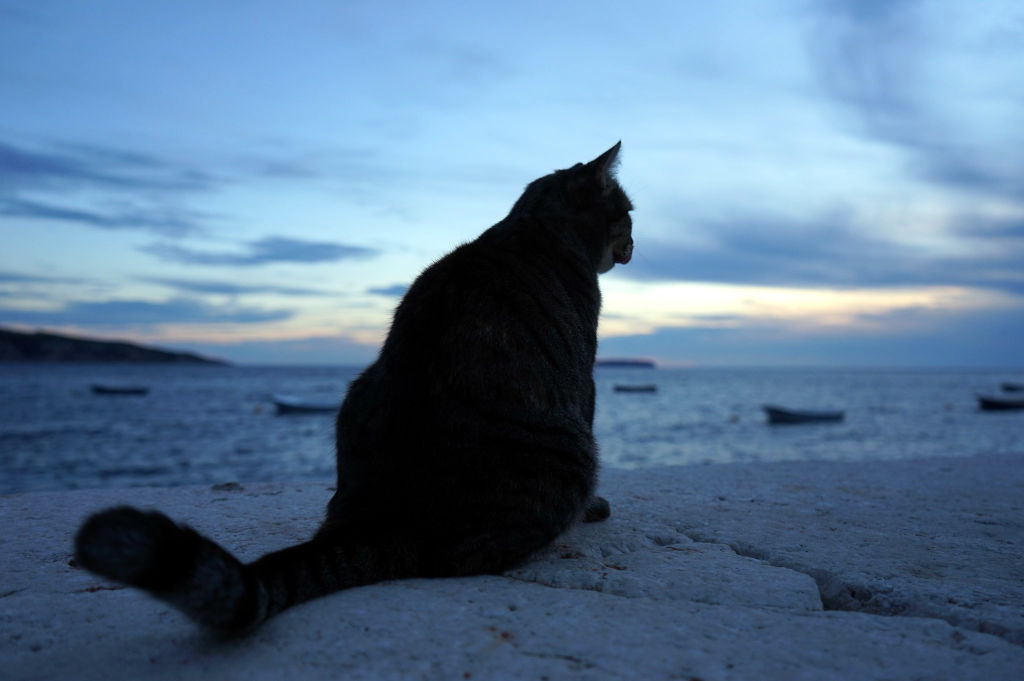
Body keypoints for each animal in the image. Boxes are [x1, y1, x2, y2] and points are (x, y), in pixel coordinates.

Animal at [75, 143, 630, 630]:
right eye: (627, 212)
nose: (633, 243)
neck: (535, 222)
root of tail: (383, 515)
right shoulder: (583, 379)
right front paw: (595, 508)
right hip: (570, 447)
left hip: (357, 389)